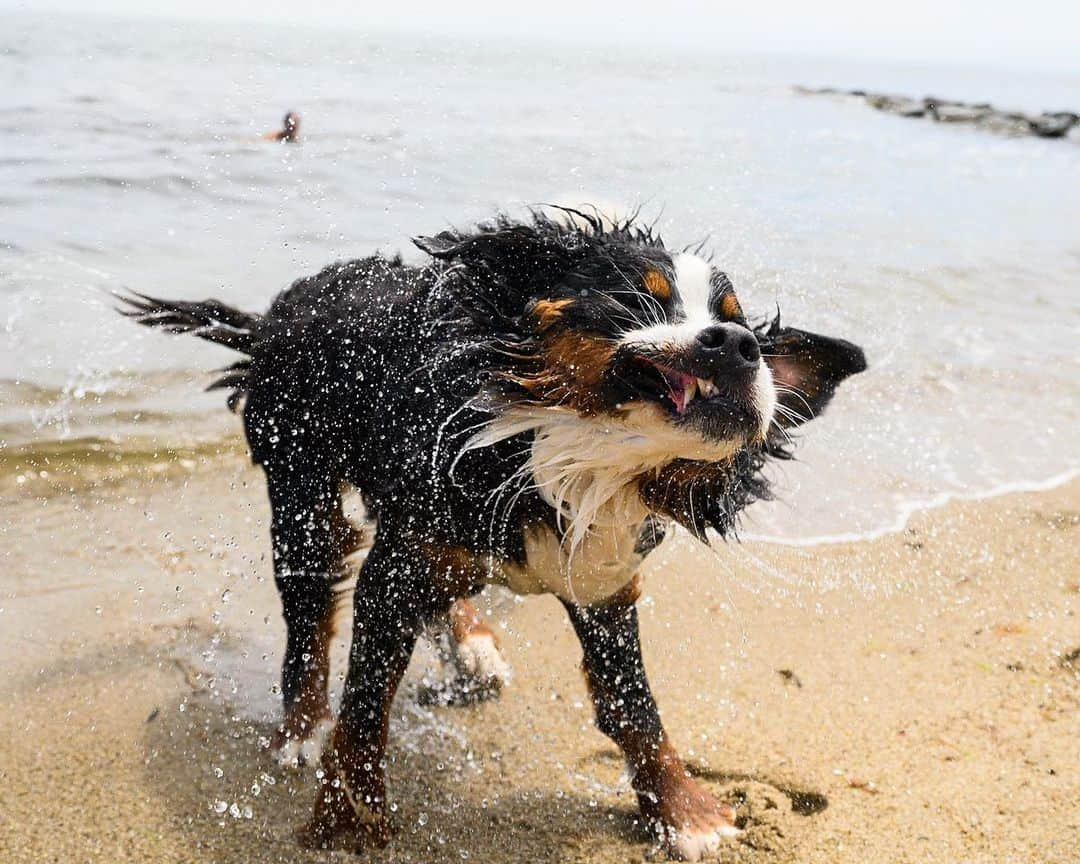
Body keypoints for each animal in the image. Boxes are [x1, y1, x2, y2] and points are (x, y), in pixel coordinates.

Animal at [122, 207, 868, 855]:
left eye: (742, 326)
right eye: (635, 301)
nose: (738, 345)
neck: (569, 459)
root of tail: (276, 313)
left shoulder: (601, 583)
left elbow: (637, 710)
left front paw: (686, 812)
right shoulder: (397, 570)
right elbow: (364, 710)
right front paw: (346, 818)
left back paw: (470, 644)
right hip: (305, 498)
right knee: (309, 622)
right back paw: (300, 730)